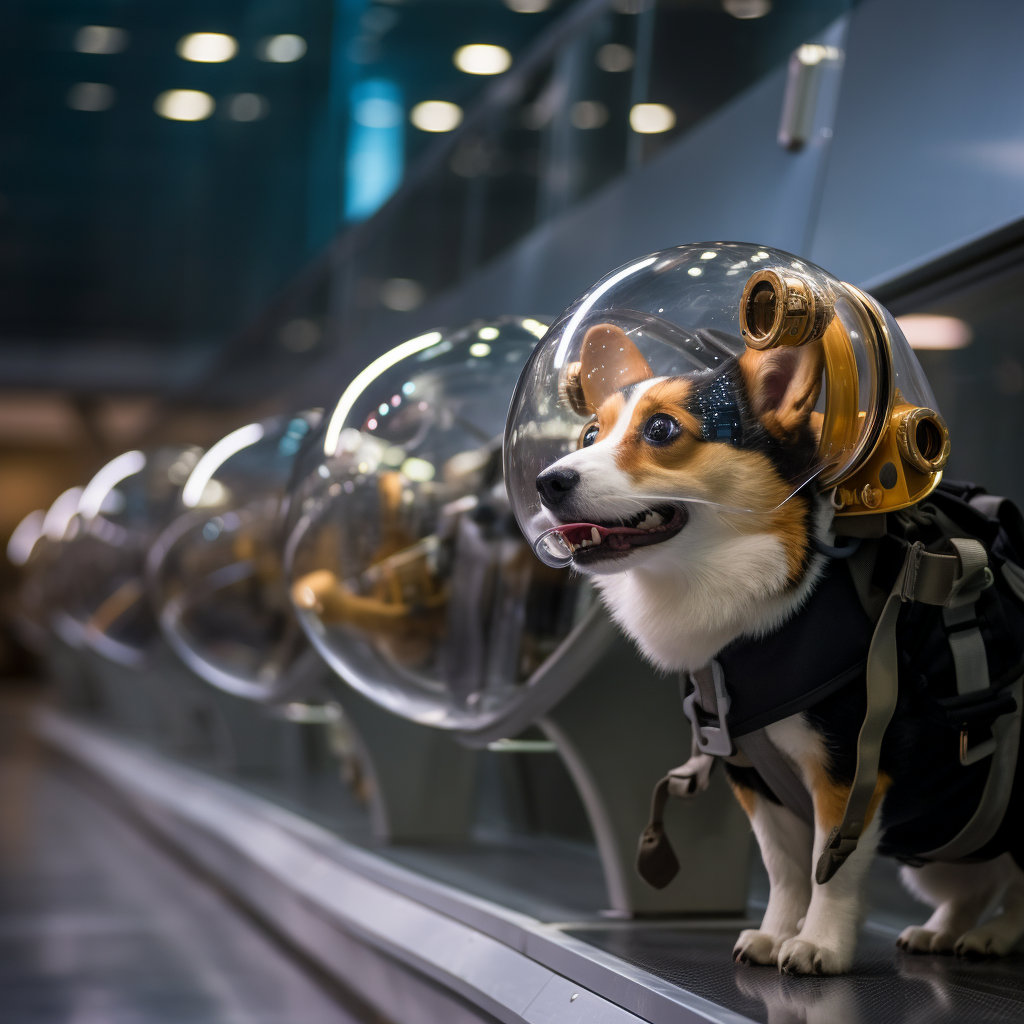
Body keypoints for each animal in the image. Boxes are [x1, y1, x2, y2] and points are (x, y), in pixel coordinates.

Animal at [532, 323, 1024, 970]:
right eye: (591, 434)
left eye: (661, 430)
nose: (547, 482)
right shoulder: (753, 776)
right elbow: (784, 866)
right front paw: (774, 933)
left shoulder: (850, 769)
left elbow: (829, 870)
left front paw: (818, 944)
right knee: (979, 883)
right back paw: (945, 931)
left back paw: (998, 935)